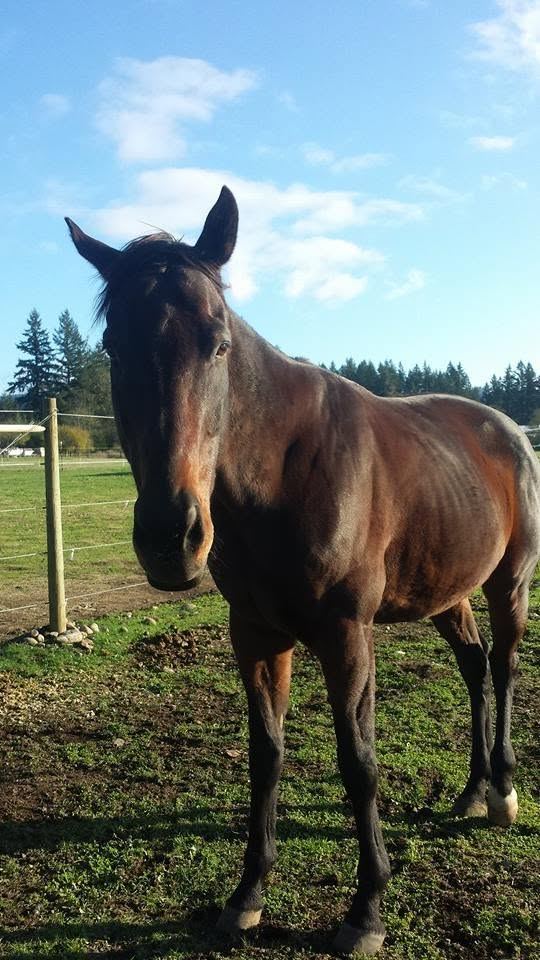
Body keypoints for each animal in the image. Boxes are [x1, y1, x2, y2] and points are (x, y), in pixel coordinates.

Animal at [66, 187, 540, 956]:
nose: (171, 537)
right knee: (472, 665)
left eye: (218, 342)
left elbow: (358, 761)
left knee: (501, 666)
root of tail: (508, 431)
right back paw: (470, 792)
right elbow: (266, 754)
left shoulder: (347, 636)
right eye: (114, 344)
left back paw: (500, 792)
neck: (284, 472)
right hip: (447, 592)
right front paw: (247, 895)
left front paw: (367, 908)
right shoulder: (256, 634)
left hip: (510, 584)